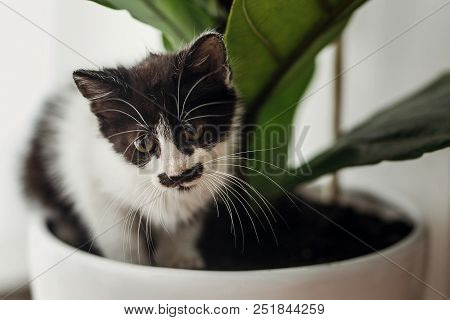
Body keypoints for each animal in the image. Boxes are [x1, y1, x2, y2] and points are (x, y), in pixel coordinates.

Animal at [24, 32, 241, 268]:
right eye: (144, 143)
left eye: (191, 131)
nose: (178, 174)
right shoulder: (92, 182)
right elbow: (118, 236)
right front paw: (134, 263)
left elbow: (184, 226)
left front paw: (178, 260)